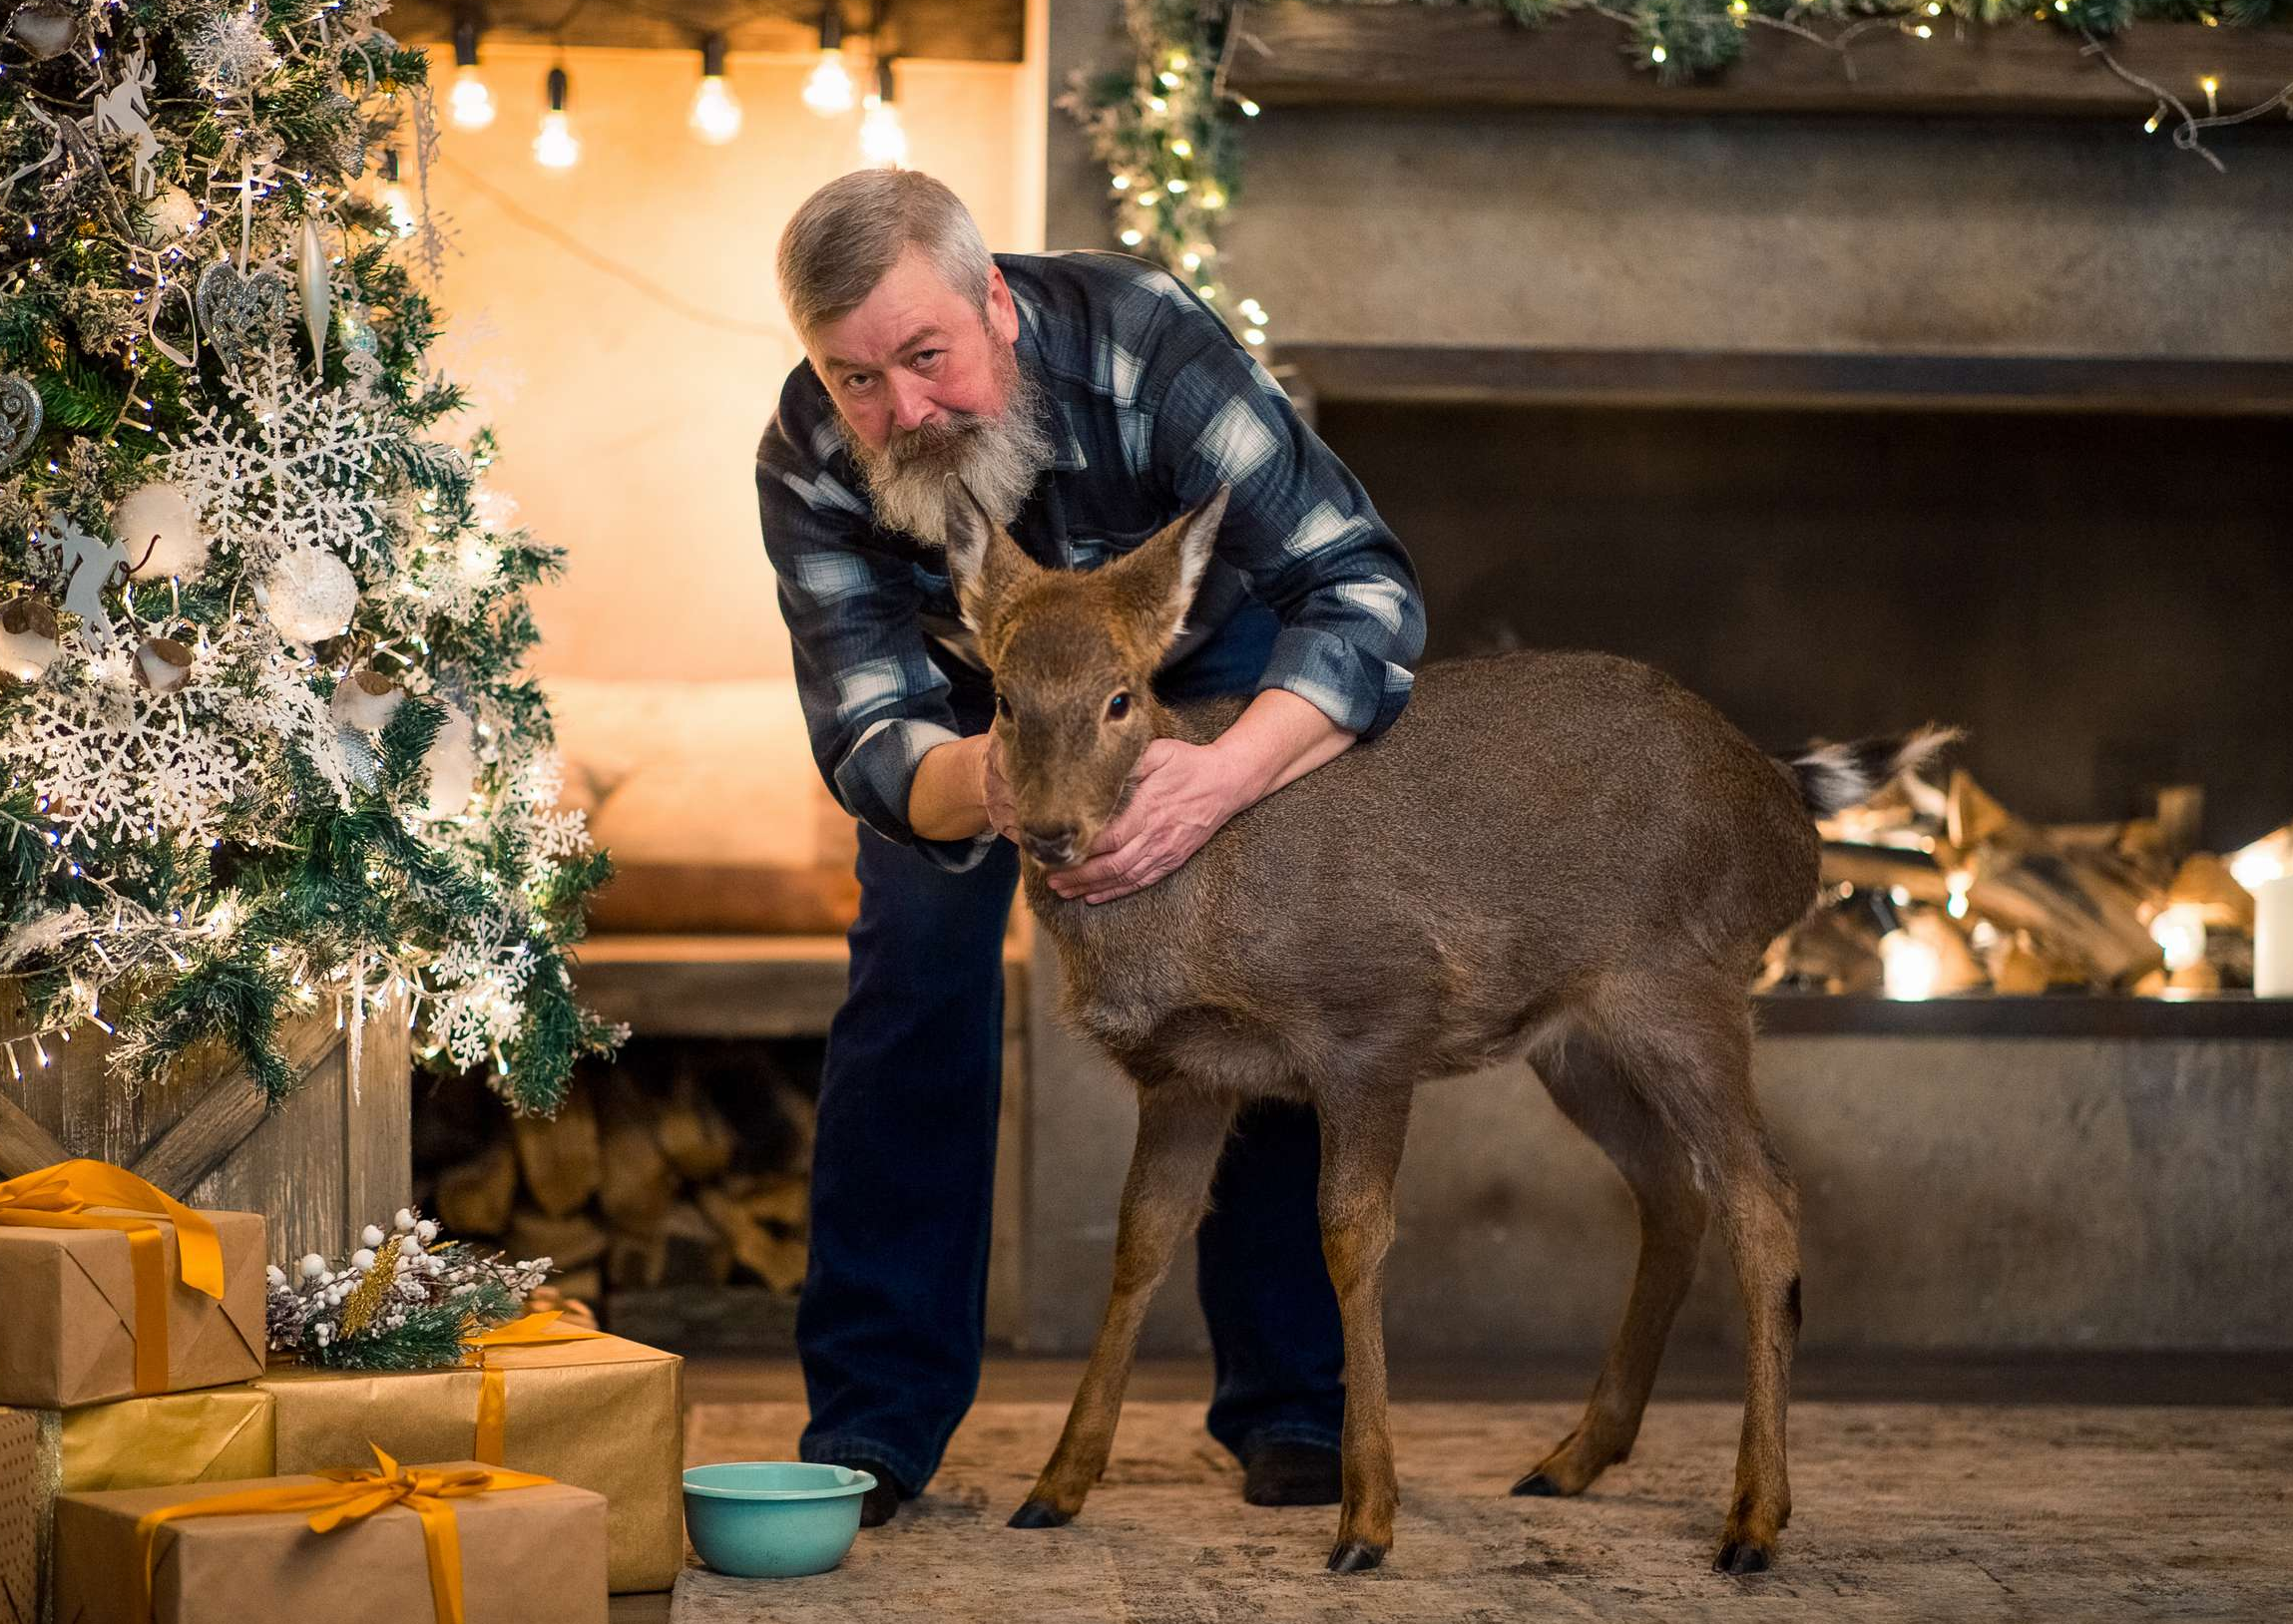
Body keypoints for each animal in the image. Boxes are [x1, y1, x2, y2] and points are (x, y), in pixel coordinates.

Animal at [944, 472, 1953, 1568]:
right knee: (1674, 1189)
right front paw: (1053, 1488)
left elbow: (1351, 1237)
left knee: (1761, 1195)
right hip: (1577, 1036)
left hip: (1685, 982)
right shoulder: (1188, 1077)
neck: (1196, 908)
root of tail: (1781, 798)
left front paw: (1366, 1522)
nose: (1052, 831)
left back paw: (1753, 1520)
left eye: (1121, 695)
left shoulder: (1373, 1024)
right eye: (1002, 699)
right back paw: (1573, 1458)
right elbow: (1141, 1241)